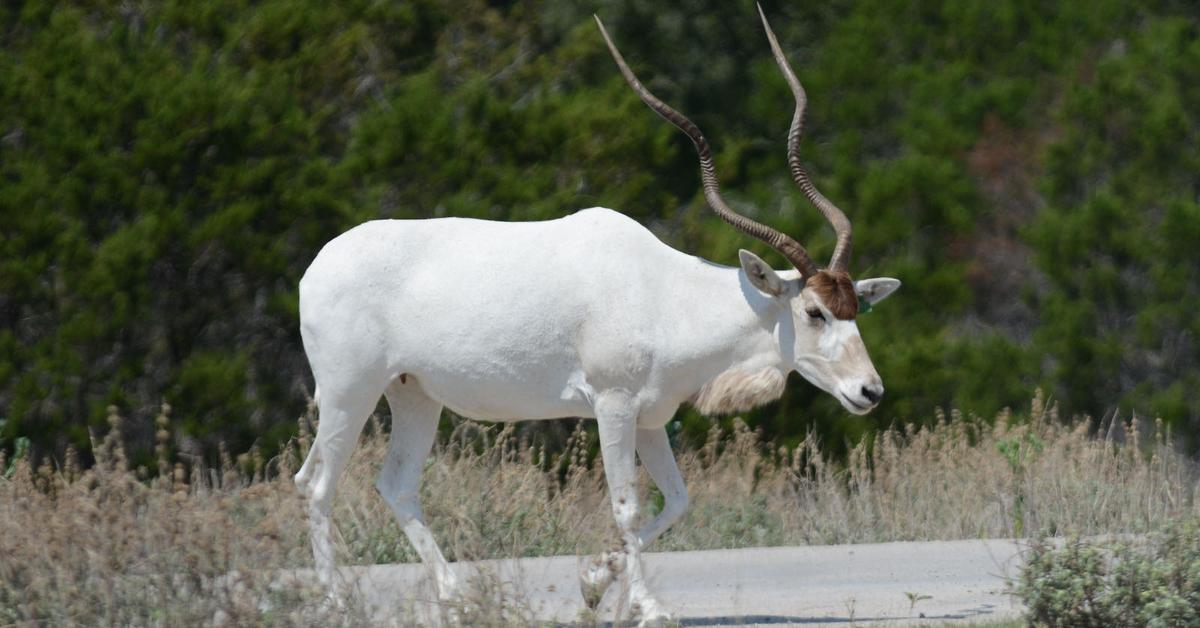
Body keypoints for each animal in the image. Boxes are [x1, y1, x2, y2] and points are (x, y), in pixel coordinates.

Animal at [295, 8, 897, 624]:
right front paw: (648, 606)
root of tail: (318, 265)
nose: (869, 391)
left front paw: (595, 586)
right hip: (349, 391)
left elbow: (676, 501)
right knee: (316, 482)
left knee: (395, 485)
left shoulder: (651, 417)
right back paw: (335, 602)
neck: (666, 295)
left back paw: (456, 597)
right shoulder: (613, 406)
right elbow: (628, 505)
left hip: (413, 394)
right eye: (814, 311)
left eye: (857, 307)